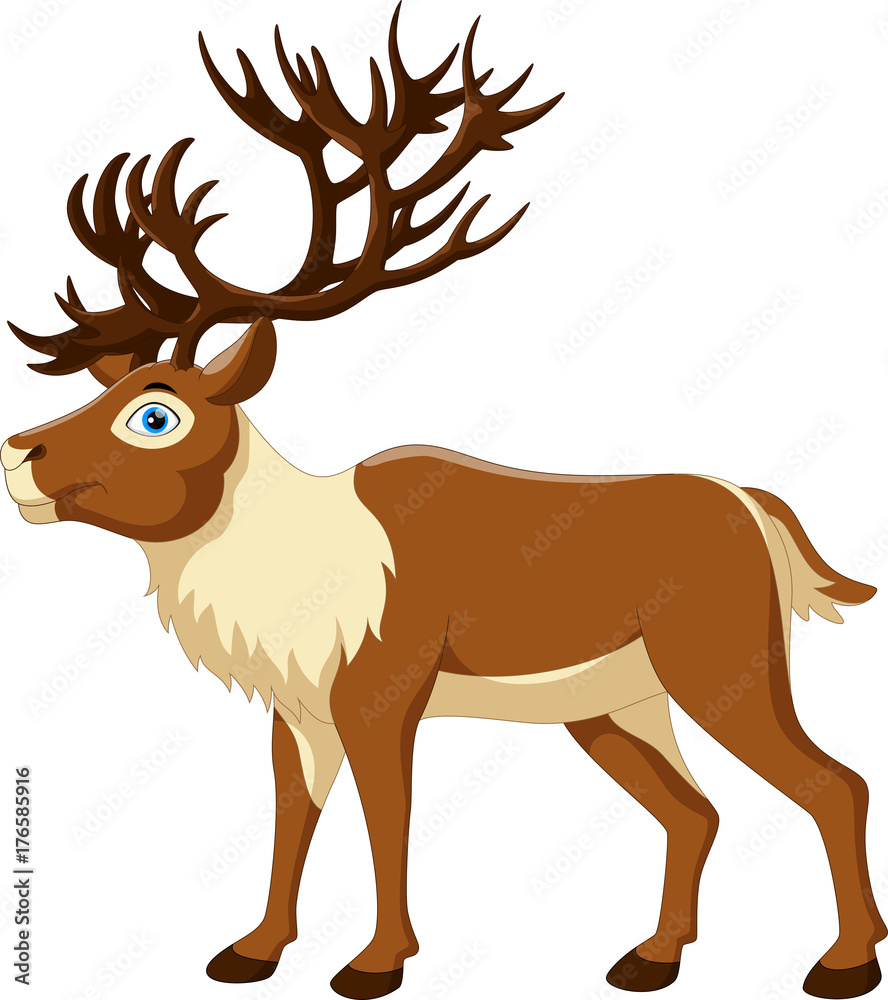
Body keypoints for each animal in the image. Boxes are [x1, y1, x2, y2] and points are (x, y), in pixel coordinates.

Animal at [2, 7, 885, 1000]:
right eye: (109, 388)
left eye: (155, 411)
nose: (17, 452)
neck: (286, 565)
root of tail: (756, 507)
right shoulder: (297, 711)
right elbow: (291, 817)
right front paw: (252, 950)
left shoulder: (382, 692)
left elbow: (388, 817)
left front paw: (376, 962)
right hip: (615, 704)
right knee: (696, 810)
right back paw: (652, 957)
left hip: (721, 664)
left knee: (834, 783)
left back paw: (844, 962)